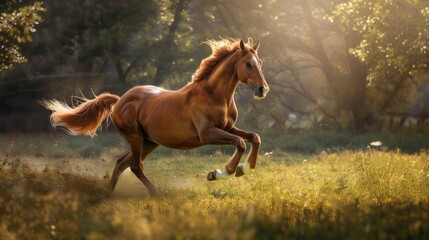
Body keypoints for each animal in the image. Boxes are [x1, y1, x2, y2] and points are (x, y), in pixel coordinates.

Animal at [41, 38, 268, 196]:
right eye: (248, 64)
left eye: (260, 62)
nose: (262, 89)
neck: (213, 95)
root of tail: (120, 100)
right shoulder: (207, 134)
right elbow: (240, 142)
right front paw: (222, 172)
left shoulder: (228, 128)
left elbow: (254, 137)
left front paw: (245, 168)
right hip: (136, 138)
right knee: (134, 166)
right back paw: (154, 192)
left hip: (149, 142)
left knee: (121, 163)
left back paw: (109, 194)